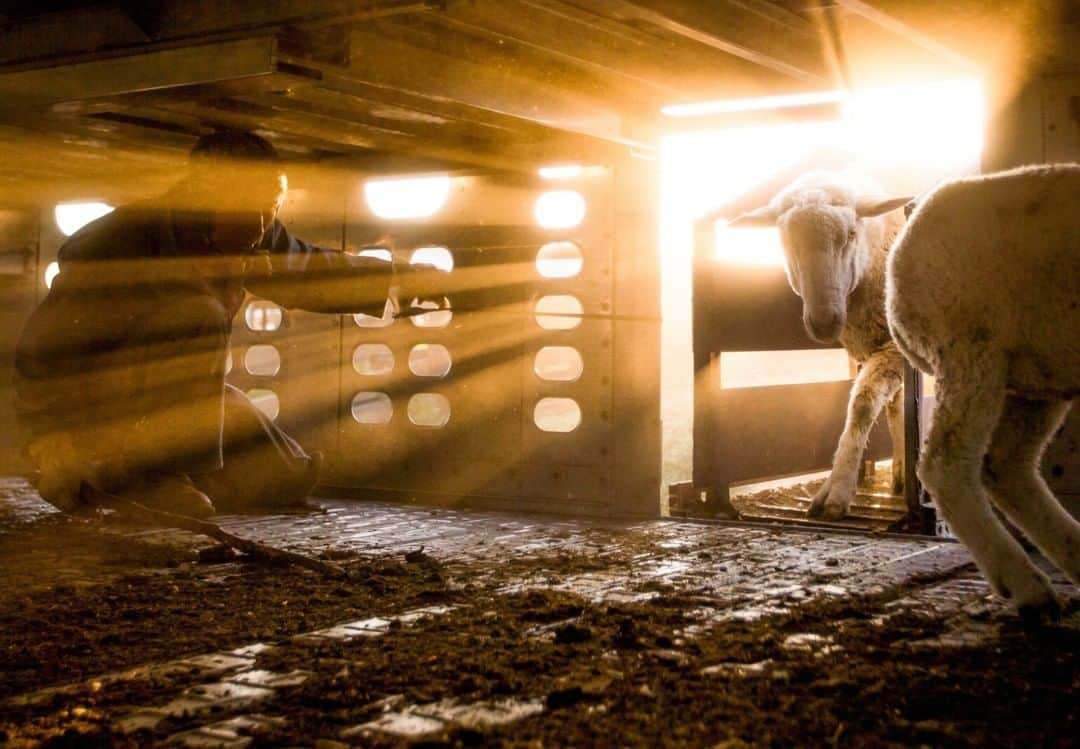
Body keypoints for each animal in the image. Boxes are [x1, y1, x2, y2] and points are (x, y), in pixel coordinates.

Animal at [734, 172, 911, 520]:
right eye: (786, 239)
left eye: (851, 233)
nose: (825, 321)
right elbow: (890, 407)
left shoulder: (896, 347)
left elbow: (862, 404)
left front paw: (838, 489)